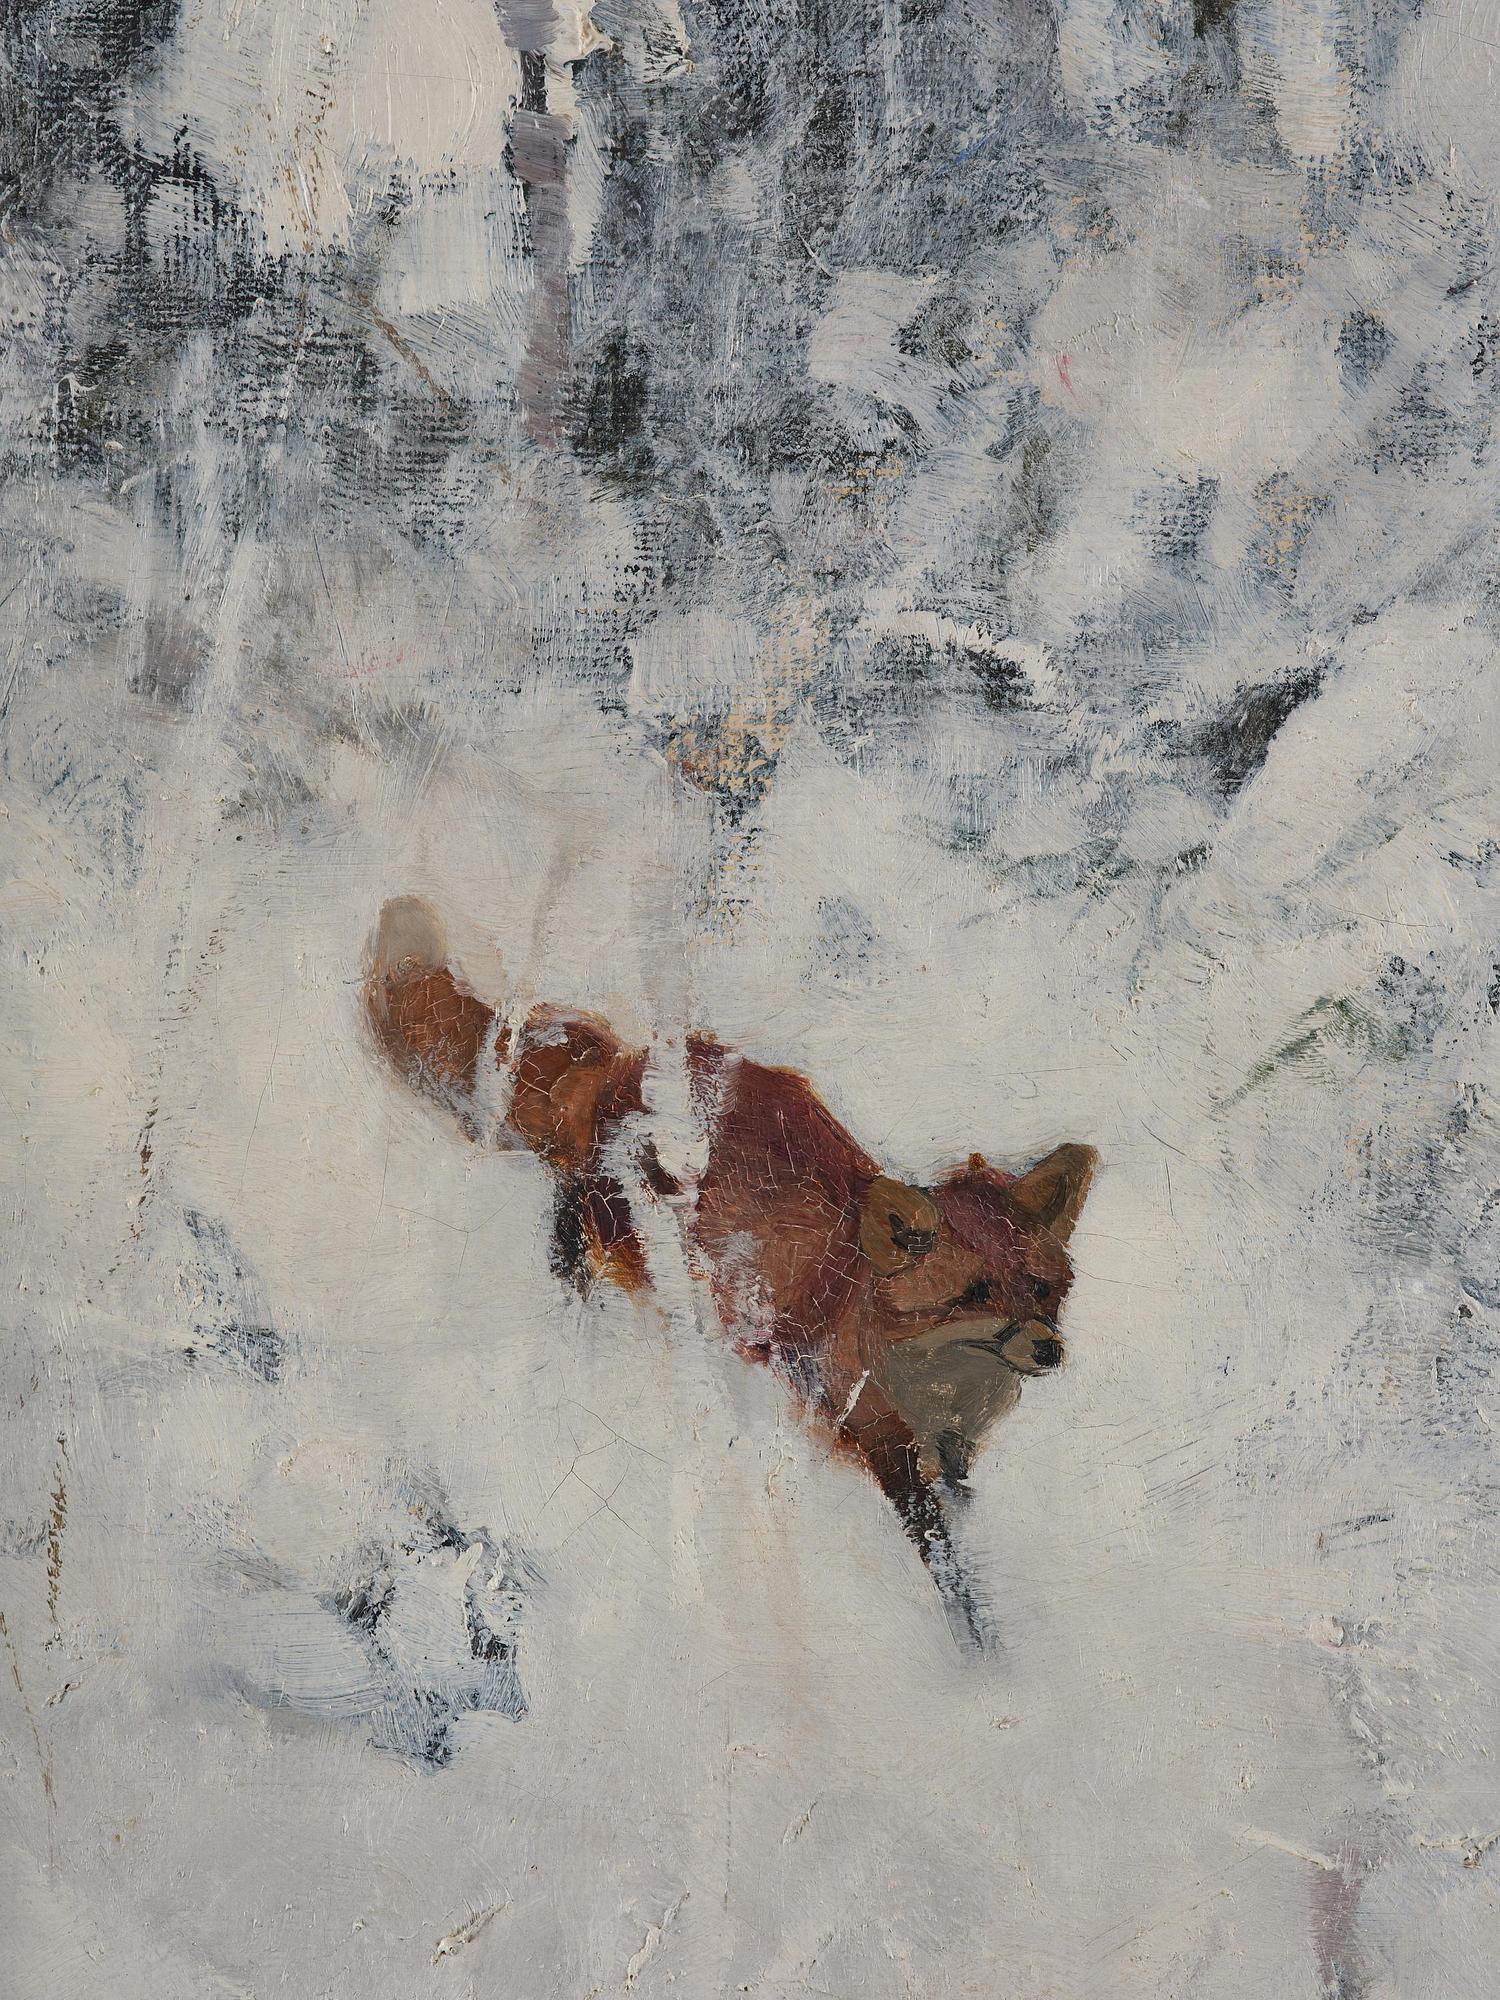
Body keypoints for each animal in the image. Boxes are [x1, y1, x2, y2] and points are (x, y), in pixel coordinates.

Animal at [364, 896, 1096, 1644]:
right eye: (973, 1294)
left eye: (1040, 1288)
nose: (1050, 1351)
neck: (936, 1387)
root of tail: (628, 1061)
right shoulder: (875, 1442)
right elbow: (945, 1564)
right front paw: (974, 1638)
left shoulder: (951, 1452)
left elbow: (963, 1510)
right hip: (633, 1245)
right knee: (575, 1238)